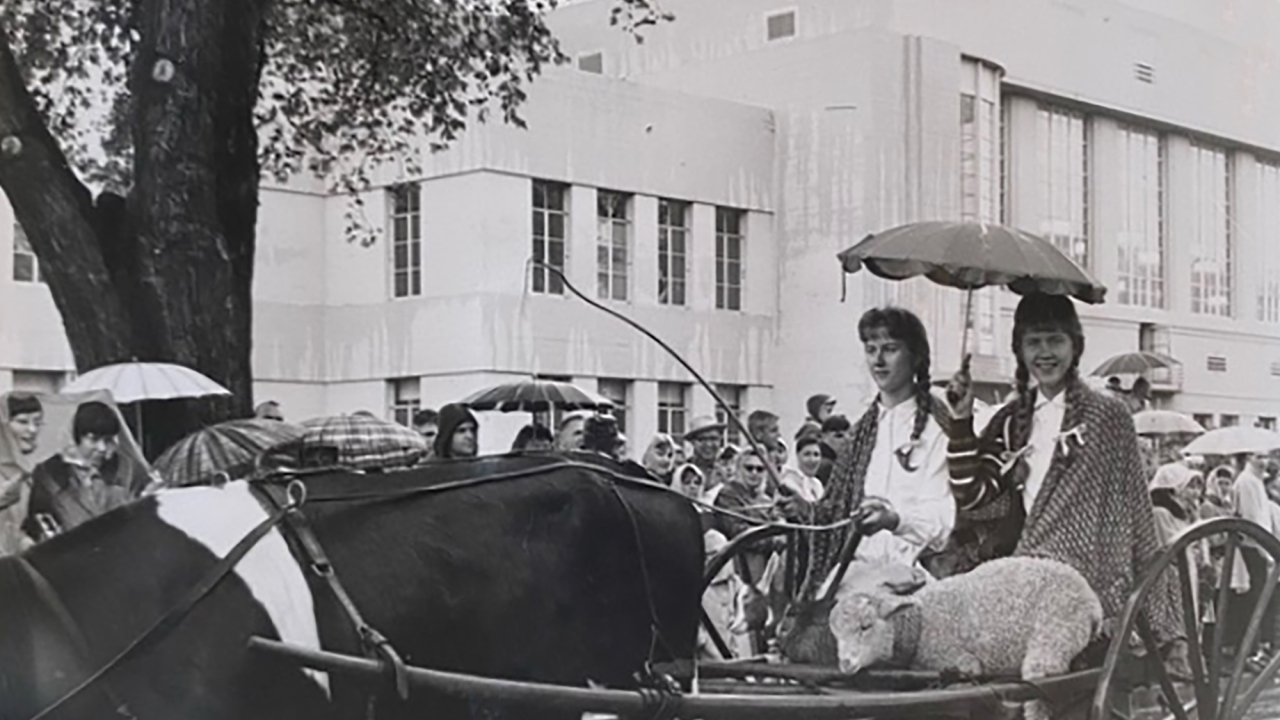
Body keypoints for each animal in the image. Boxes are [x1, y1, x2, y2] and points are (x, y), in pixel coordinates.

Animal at [829, 558, 1100, 717]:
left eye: (865, 626)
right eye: (835, 633)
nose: (845, 664)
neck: (920, 624)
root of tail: (1092, 602)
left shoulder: (961, 663)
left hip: (1054, 635)